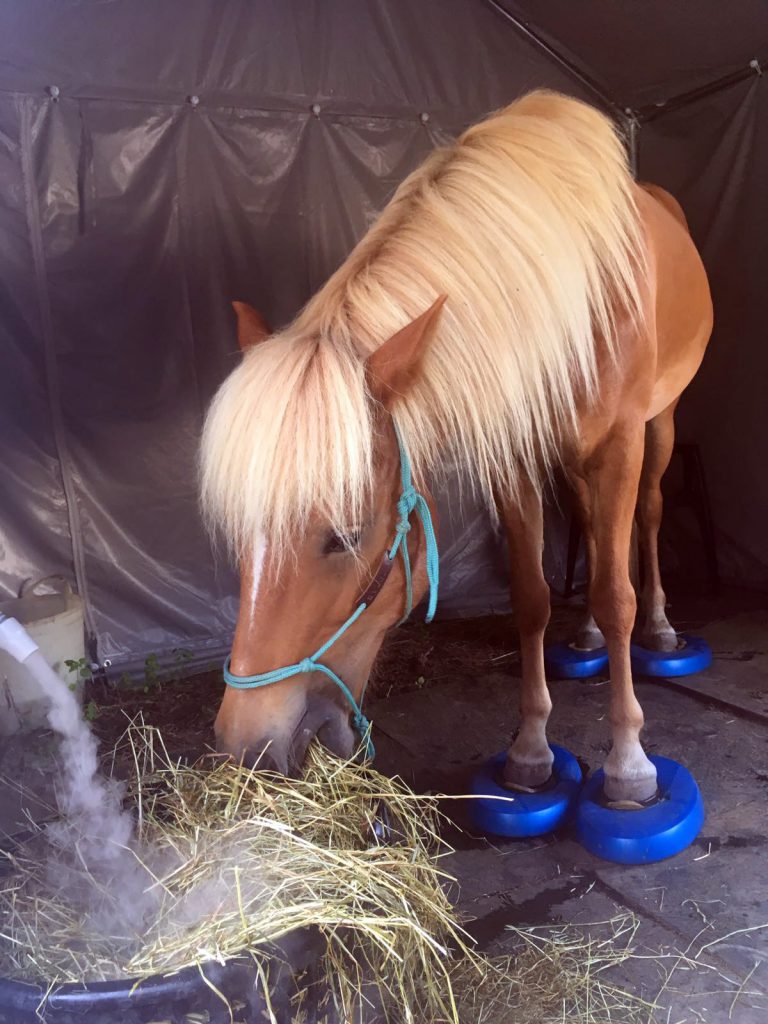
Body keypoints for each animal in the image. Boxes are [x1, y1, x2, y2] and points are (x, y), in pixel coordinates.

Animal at [201, 92, 712, 802]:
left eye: (345, 536)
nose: (246, 746)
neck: (569, 292)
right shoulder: (517, 458)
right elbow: (531, 597)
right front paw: (530, 749)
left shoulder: (620, 443)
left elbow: (618, 596)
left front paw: (629, 762)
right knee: (587, 522)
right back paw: (584, 639)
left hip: (660, 425)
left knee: (652, 515)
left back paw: (661, 627)